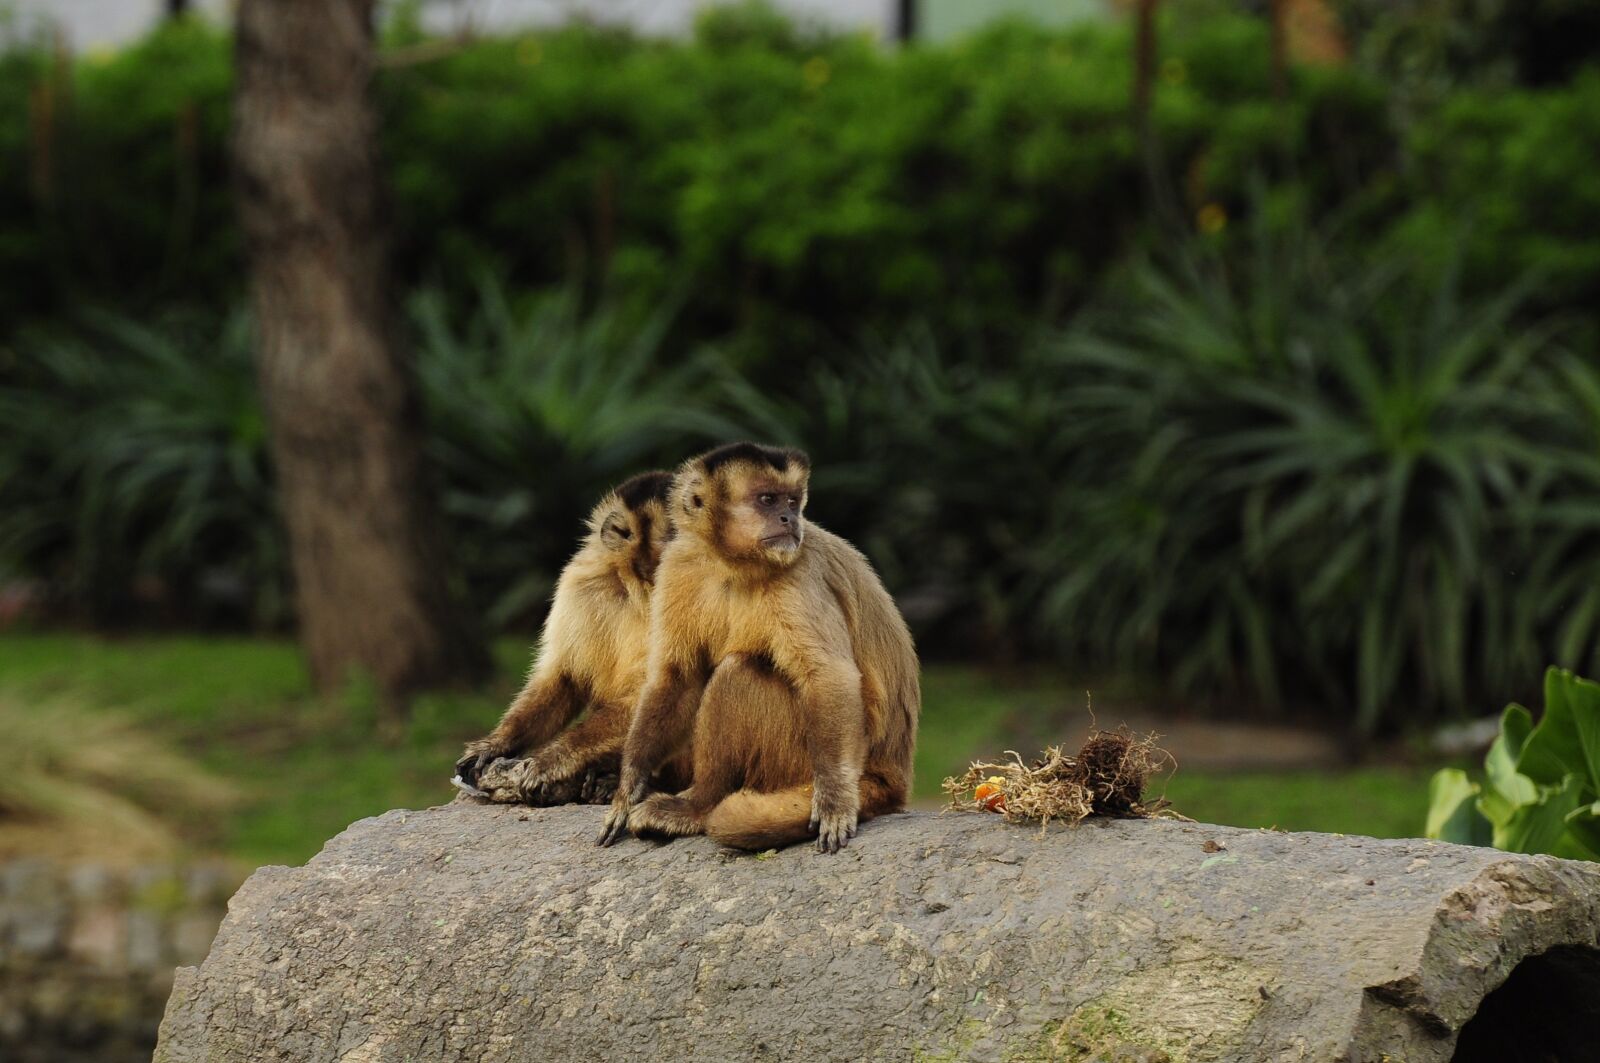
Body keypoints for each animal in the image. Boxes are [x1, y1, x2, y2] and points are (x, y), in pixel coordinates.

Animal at [454, 470, 677, 805]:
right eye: (675, 531)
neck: (635, 585)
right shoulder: (579, 583)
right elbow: (563, 677)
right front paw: (497, 743)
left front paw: (555, 757)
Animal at [596, 442, 920, 853]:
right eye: (767, 500)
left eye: (792, 501)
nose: (788, 518)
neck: (731, 565)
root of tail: (893, 777)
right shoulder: (678, 566)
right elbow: (676, 678)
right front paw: (627, 789)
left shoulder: (798, 574)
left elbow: (828, 677)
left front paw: (836, 800)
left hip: (801, 762)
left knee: (739, 672)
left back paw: (699, 805)